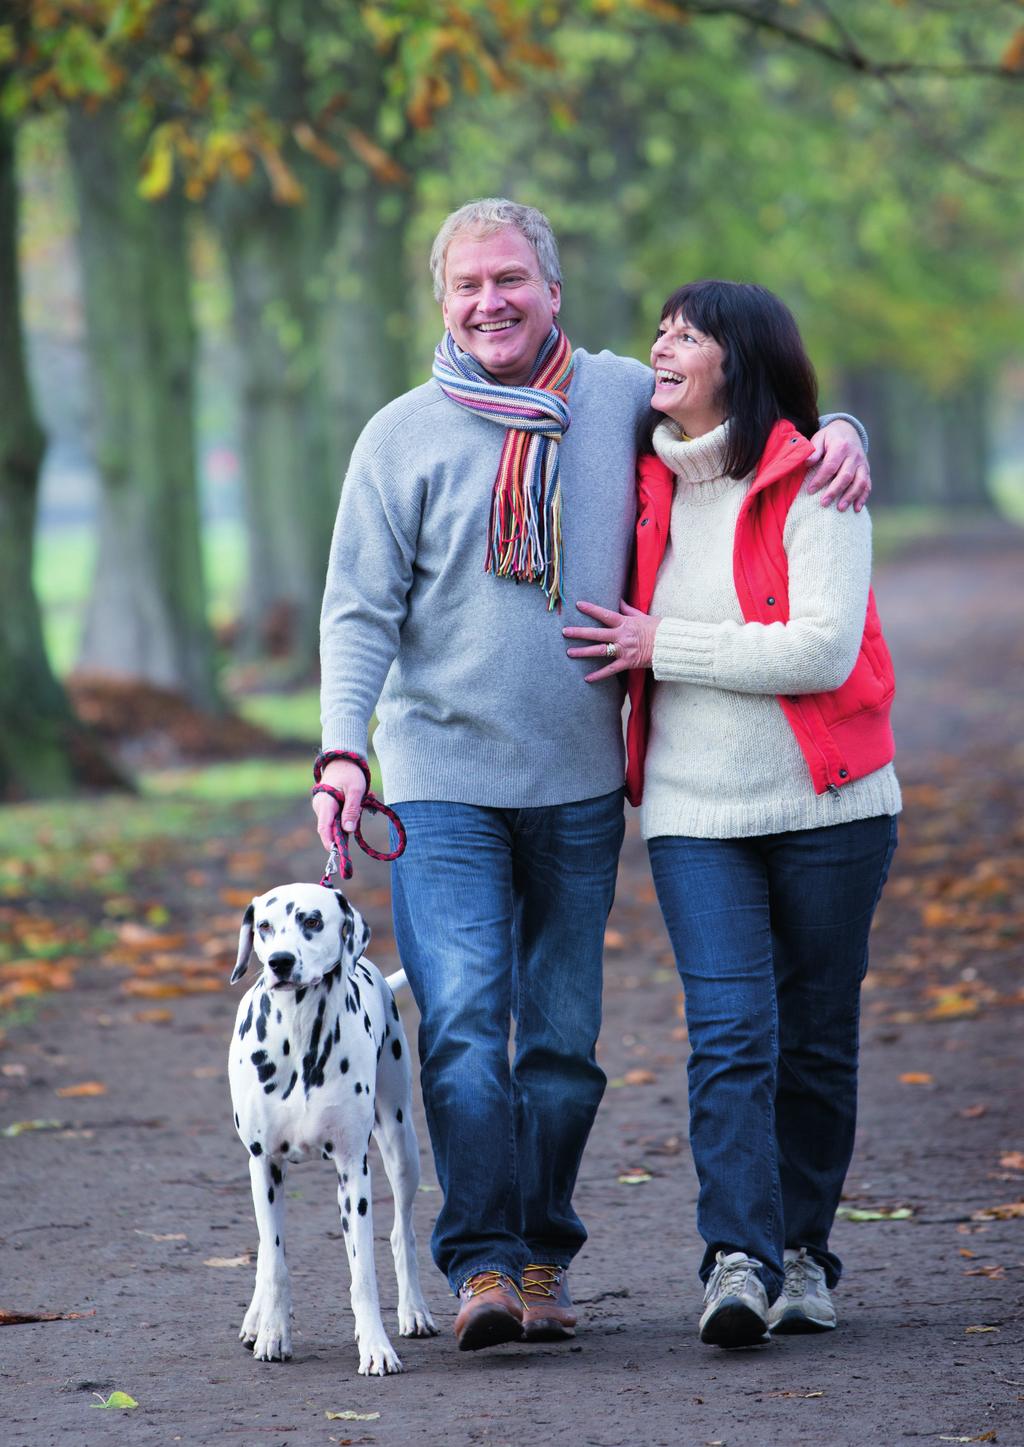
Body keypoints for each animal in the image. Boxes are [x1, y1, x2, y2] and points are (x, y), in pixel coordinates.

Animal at [228, 873, 436, 1371]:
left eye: (312, 920)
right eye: (264, 926)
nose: (280, 962)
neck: (300, 1032)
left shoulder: (352, 1172)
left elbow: (363, 1275)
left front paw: (376, 1347)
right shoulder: (264, 1166)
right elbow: (275, 1263)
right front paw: (273, 1334)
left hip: (401, 1145)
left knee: (402, 1233)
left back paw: (414, 1311)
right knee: (265, 1252)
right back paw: (256, 1320)